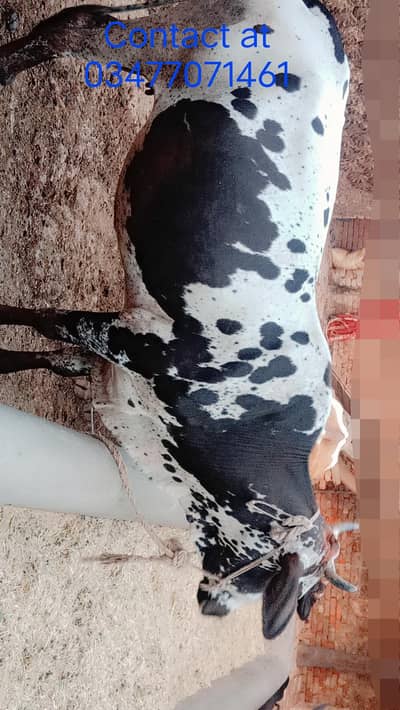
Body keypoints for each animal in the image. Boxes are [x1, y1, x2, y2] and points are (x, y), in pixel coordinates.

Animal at [0, 0, 359, 646]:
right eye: (268, 573)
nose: (211, 606)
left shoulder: (116, 358)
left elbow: (50, 350)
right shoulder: (134, 338)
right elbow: (41, 318)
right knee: (78, 26)